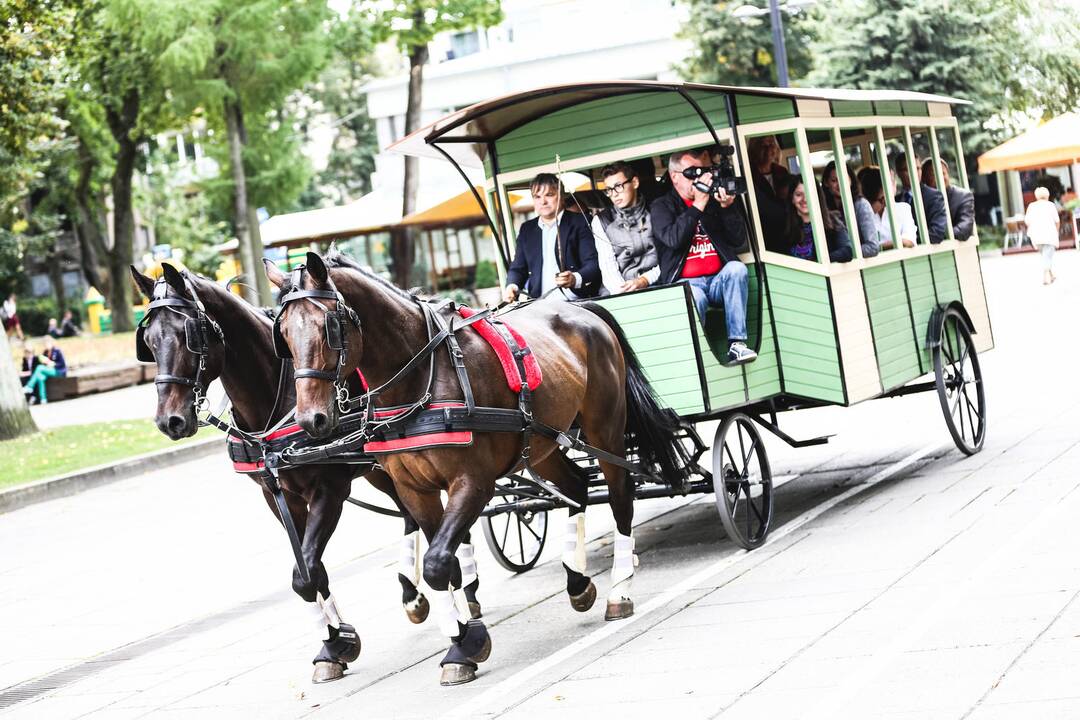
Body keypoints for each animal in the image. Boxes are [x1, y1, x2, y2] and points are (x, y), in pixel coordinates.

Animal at [127, 266, 481, 686]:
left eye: (190, 335)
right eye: (148, 341)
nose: (170, 421)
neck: (273, 394)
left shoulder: (329, 489)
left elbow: (305, 571)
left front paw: (339, 642)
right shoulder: (277, 495)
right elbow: (311, 569)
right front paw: (334, 642)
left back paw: (464, 594)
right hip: (381, 468)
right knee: (411, 514)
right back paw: (415, 593)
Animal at [265, 250, 678, 686]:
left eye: (329, 326)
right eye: (284, 336)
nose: (311, 420)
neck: (421, 376)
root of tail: (580, 309)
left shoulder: (472, 483)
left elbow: (436, 564)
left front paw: (467, 642)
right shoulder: (416, 490)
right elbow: (442, 564)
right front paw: (461, 640)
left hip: (604, 430)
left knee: (620, 498)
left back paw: (619, 590)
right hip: (544, 443)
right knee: (577, 486)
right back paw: (577, 581)